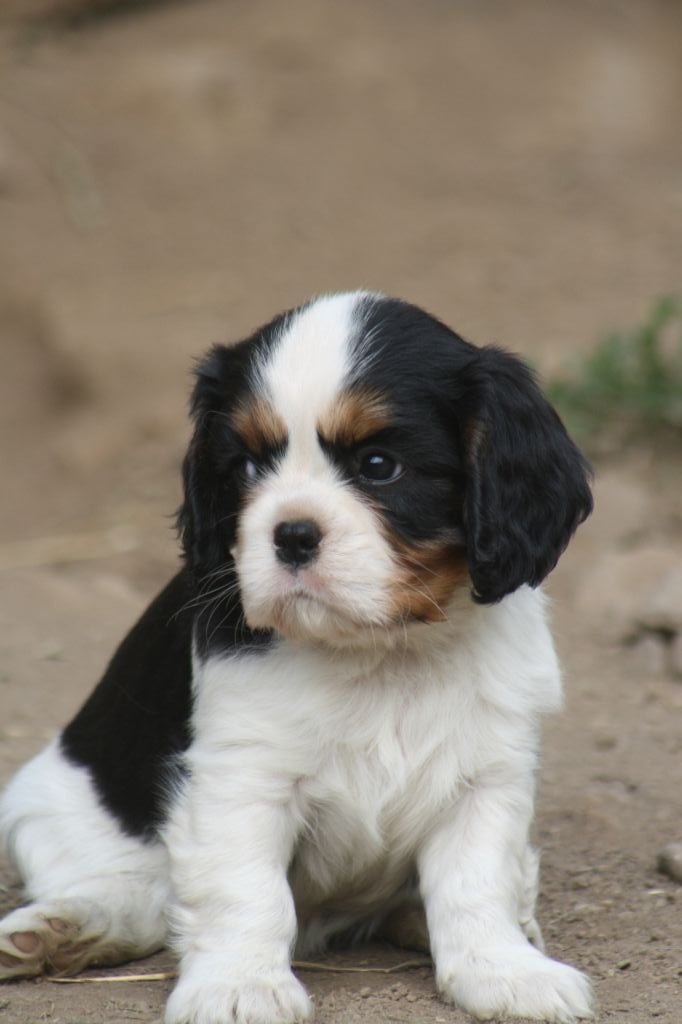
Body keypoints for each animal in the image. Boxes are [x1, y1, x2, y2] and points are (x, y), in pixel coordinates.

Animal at [0, 292, 593, 1019]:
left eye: (379, 466)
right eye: (248, 467)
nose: (291, 535)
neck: (380, 649)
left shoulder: (488, 777)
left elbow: (477, 884)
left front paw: (506, 970)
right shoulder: (241, 777)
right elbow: (244, 889)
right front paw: (240, 984)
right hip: (43, 806)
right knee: (139, 895)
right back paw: (61, 929)